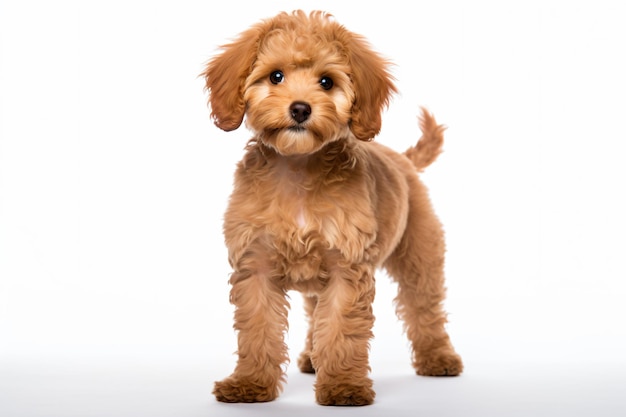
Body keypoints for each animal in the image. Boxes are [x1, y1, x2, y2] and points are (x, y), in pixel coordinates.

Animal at [202, 10, 460, 406]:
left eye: (326, 82)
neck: (297, 168)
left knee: (424, 309)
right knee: (314, 314)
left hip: (420, 256)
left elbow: (340, 328)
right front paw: (249, 383)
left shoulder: (346, 268)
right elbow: (257, 330)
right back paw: (311, 357)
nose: (300, 108)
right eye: (276, 76)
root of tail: (402, 160)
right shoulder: (255, 266)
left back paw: (439, 357)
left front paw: (343, 386)